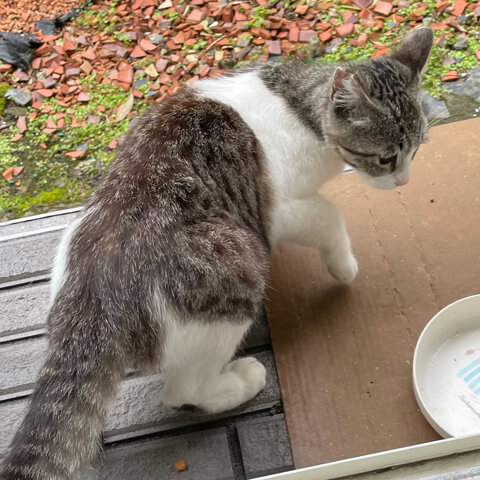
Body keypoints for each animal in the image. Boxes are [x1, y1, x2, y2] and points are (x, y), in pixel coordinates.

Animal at [1, 27, 433, 480]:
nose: (404, 181)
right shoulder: (279, 212)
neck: (299, 108)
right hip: (240, 264)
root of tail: (89, 311)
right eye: (386, 158)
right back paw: (239, 382)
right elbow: (329, 214)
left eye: (417, 148)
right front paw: (344, 267)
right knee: (183, 390)